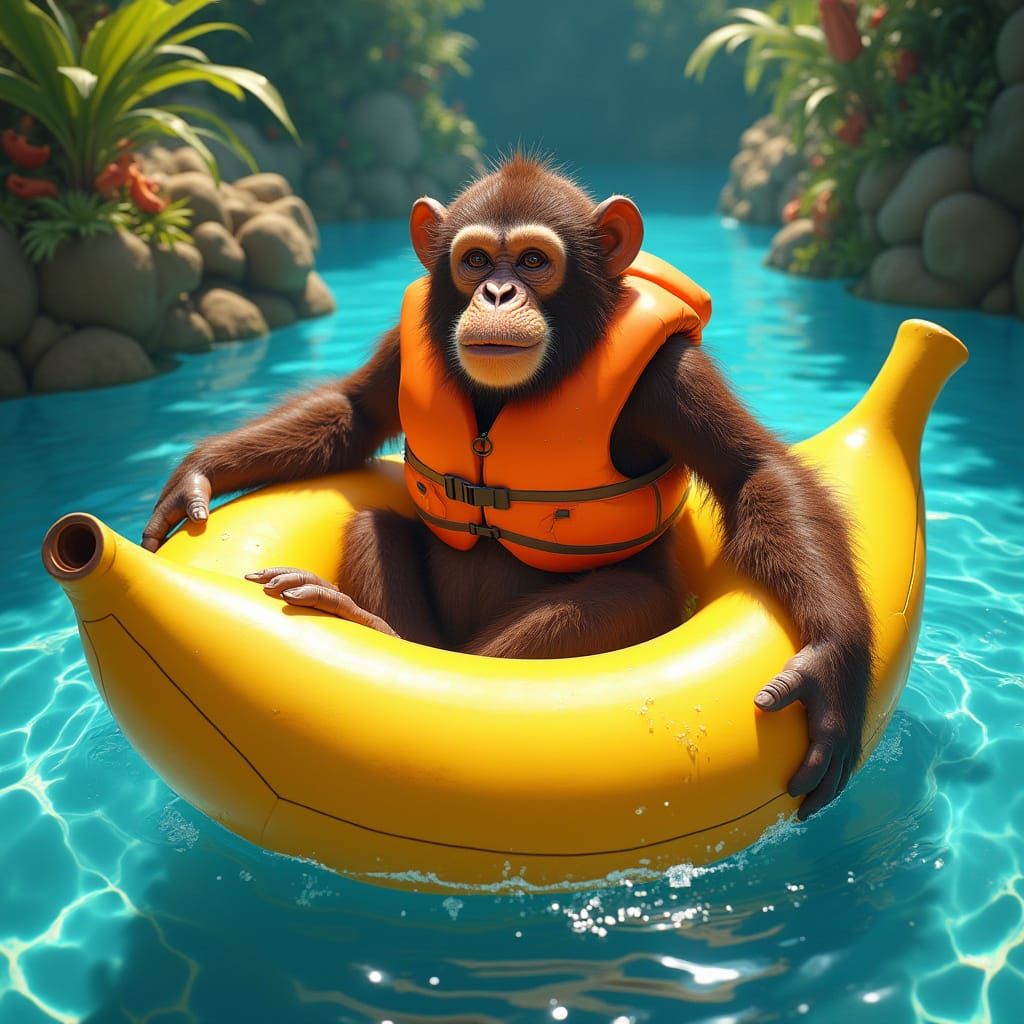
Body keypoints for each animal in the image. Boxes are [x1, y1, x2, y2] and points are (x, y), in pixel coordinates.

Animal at [142, 156, 873, 820]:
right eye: (474, 260)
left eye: (531, 260)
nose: (497, 295)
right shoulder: (404, 344)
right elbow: (354, 412)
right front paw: (201, 471)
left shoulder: (669, 376)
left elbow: (753, 471)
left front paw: (830, 664)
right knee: (375, 530)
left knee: (622, 597)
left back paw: (359, 619)